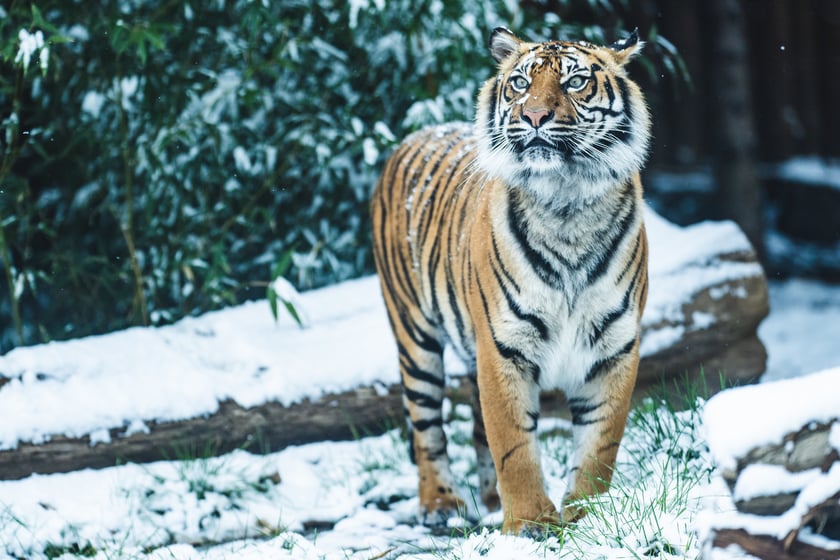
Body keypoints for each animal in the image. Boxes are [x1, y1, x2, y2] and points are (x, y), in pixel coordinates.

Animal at [370, 26, 652, 532]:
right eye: (520, 84)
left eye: (575, 82)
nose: (534, 115)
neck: (566, 204)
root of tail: (413, 136)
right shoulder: (503, 347)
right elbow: (514, 444)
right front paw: (529, 522)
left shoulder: (613, 349)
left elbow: (599, 446)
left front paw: (587, 517)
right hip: (414, 336)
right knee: (426, 426)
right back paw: (440, 504)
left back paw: (487, 498)